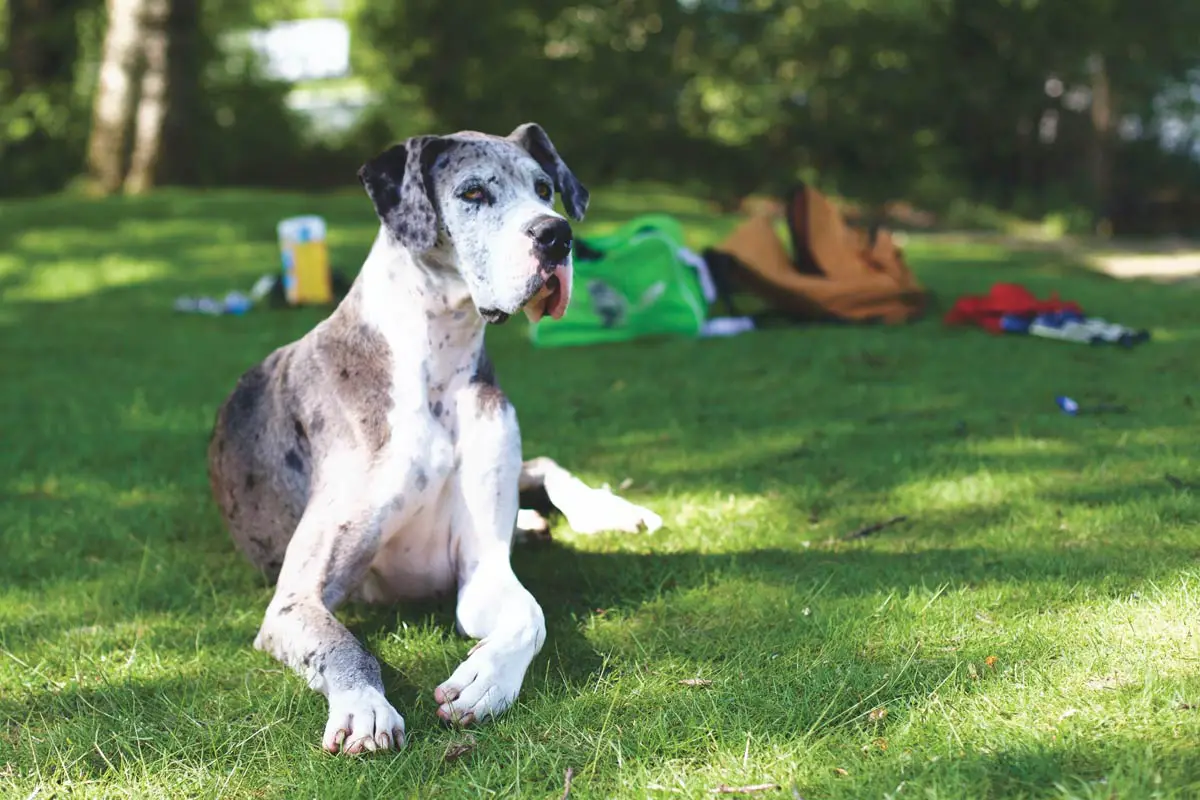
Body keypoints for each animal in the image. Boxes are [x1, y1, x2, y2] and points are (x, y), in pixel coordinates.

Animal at [211, 122, 667, 753]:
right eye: (473, 193)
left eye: (545, 189)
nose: (557, 235)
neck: (438, 364)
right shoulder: (295, 598)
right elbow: (343, 645)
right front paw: (363, 706)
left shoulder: (483, 571)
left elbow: (531, 615)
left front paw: (486, 680)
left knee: (544, 465)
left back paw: (606, 511)